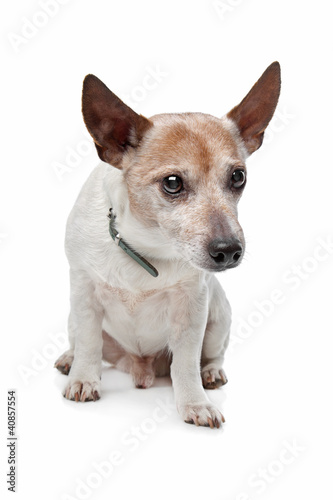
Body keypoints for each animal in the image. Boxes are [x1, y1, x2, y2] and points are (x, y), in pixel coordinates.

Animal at [54, 60, 280, 428]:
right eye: (172, 183)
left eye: (238, 177)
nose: (229, 251)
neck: (147, 249)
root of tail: (139, 365)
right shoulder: (84, 291)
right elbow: (89, 343)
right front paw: (84, 378)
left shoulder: (192, 308)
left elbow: (185, 363)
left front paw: (195, 403)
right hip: (74, 315)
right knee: (83, 340)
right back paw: (69, 358)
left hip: (218, 314)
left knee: (211, 355)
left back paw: (211, 373)